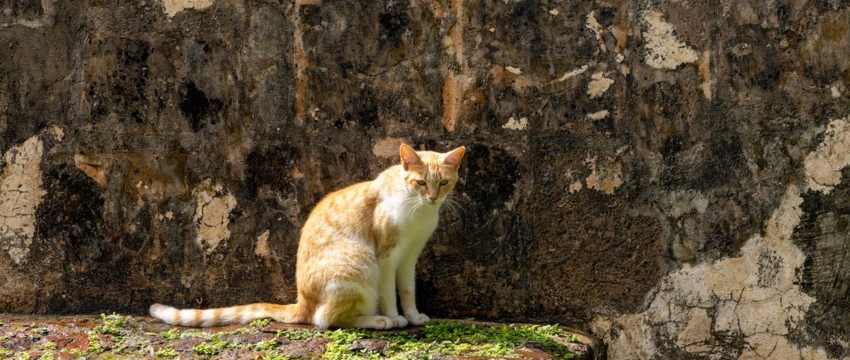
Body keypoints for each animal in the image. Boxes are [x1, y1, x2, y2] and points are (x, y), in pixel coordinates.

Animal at [147, 143, 464, 330]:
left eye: (443, 183)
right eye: (421, 182)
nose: (433, 198)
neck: (418, 209)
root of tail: (301, 301)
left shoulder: (409, 258)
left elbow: (408, 291)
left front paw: (412, 316)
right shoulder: (386, 259)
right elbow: (388, 293)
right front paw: (397, 316)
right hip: (361, 260)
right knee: (324, 319)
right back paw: (379, 320)